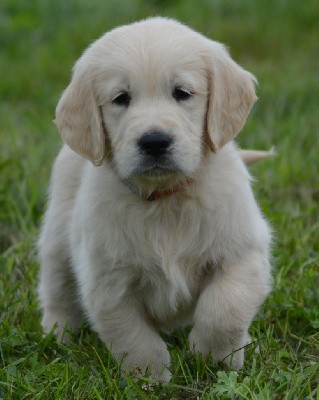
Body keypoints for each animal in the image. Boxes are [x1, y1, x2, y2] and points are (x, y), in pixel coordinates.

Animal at [37, 18, 272, 382]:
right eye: (121, 98)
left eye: (182, 93)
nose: (155, 141)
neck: (164, 199)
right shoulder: (108, 282)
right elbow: (131, 335)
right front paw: (148, 377)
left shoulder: (243, 252)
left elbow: (224, 308)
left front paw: (214, 357)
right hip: (58, 238)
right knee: (57, 287)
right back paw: (59, 334)